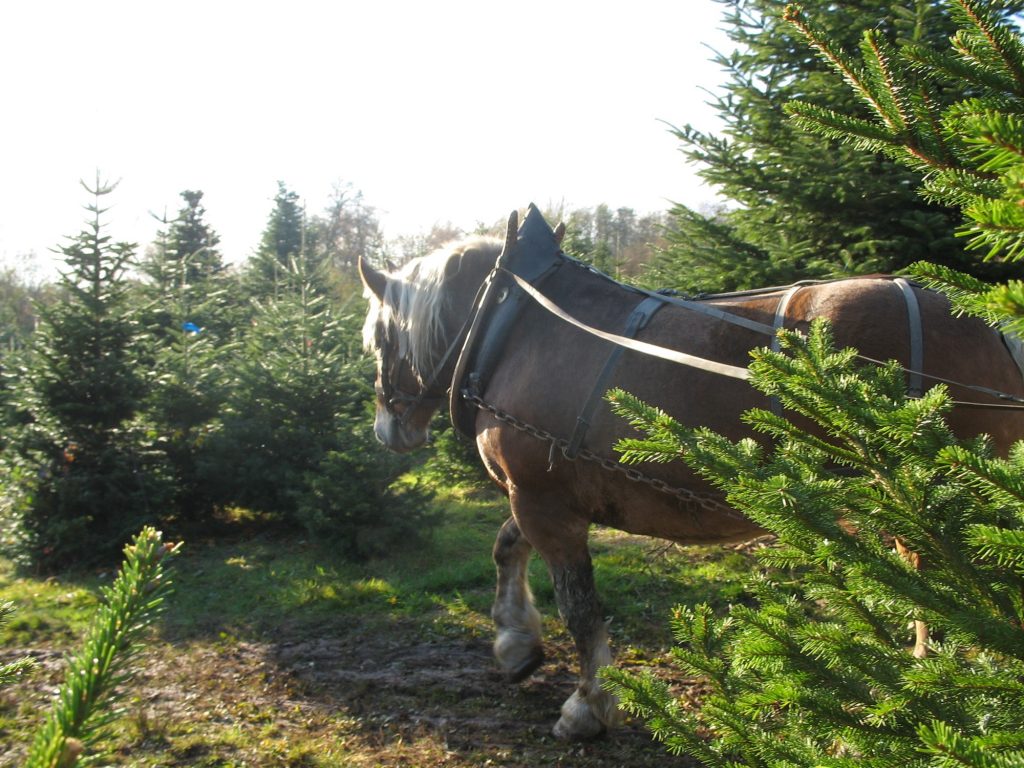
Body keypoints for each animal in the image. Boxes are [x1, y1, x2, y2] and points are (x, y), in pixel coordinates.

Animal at [358, 204, 1024, 741]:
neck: (507, 323)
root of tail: (992, 324)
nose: (389, 430)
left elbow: (580, 607)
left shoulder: (544, 500)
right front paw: (516, 644)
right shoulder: (544, 489)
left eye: (376, 339)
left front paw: (588, 706)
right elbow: (505, 547)